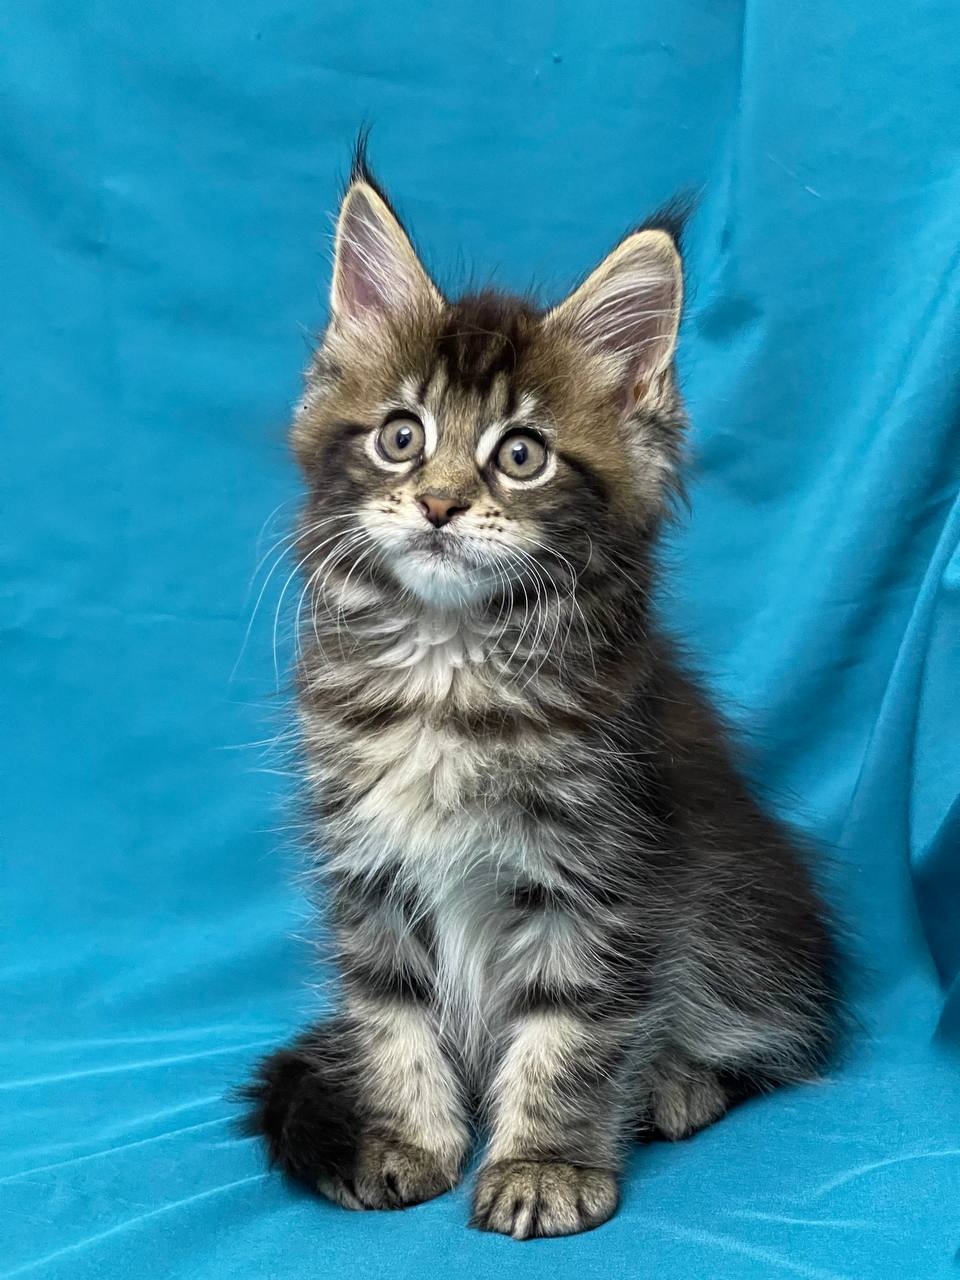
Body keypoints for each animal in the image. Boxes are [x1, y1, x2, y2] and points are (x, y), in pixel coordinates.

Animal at [241, 149, 839, 1239]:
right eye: (401, 436)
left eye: (520, 454)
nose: (439, 503)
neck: (449, 668)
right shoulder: (371, 872)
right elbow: (391, 1016)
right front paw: (408, 1139)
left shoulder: (598, 879)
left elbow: (570, 1034)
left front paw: (544, 1163)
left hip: (751, 920)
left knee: (771, 1039)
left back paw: (677, 1081)